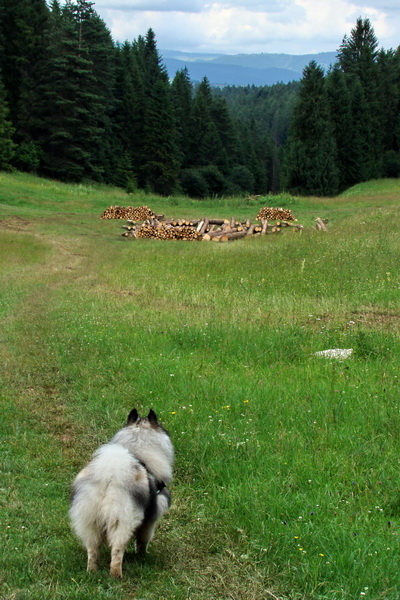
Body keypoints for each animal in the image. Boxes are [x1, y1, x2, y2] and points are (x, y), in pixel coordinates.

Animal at [68, 408, 173, 576]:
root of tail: (108, 476)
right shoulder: (150, 519)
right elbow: (143, 540)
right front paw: (142, 555)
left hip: (89, 519)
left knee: (92, 549)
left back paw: (92, 571)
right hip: (122, 520)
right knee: (117, 550)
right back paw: (116, 574)